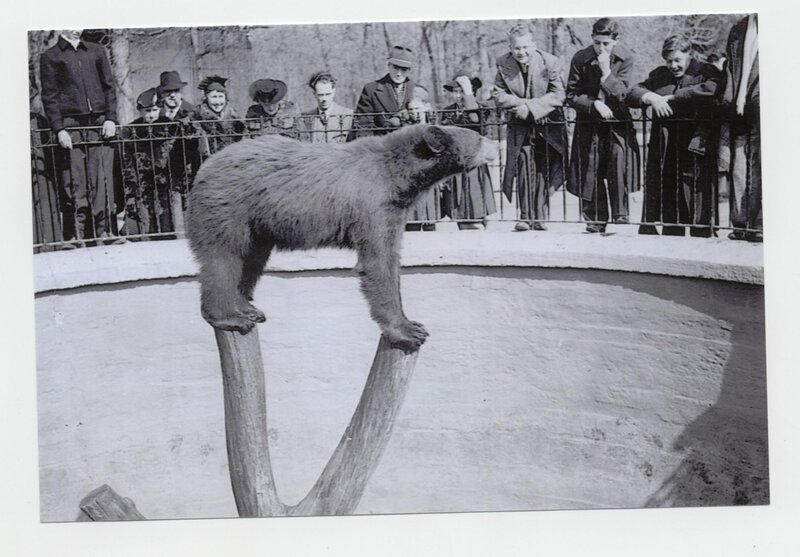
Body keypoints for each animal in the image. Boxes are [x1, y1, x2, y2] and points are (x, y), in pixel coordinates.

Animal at [186, 124, 498, 353]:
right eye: (478, 137)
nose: (496, 144)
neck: (398, 175)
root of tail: (206, 166)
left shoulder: (394, 209)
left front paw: (412, 323)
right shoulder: (372, 205)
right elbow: (378, 263)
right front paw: (408, 332)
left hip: (258, 225)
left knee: (251, 260)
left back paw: (248, 308)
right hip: (228, 206)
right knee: (223, 257)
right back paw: (229, 317)